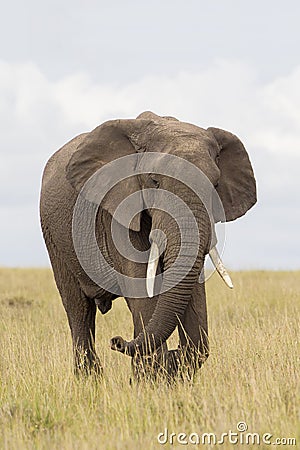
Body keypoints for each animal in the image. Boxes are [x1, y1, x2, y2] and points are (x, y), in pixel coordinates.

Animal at [39, 110, 255, 378]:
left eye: (215, 186)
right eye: (154, 181)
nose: (116, 341)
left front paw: (170, 367)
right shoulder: (116, 211)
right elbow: (140, 284)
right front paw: (155, 373)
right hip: (54, 237)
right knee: (78, 309)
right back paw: (89, 379)